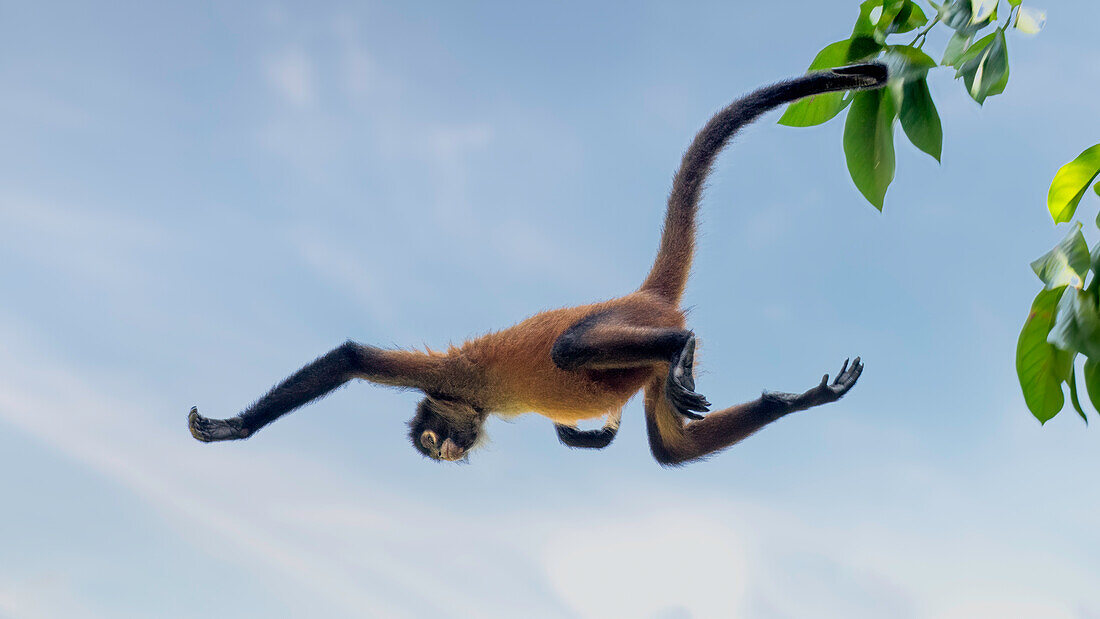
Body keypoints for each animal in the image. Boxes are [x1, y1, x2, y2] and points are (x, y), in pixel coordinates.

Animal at [184, 65, 880, 468]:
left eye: (435, 439)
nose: (443, 453)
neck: (478, 404)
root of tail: (645, 294)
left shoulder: (458, 374)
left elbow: (351, 357)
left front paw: (231, 427)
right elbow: (662, 446)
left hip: (617, 318)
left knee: (575, 348)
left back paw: (676, 343)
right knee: (669, 447)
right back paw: (793, 398)